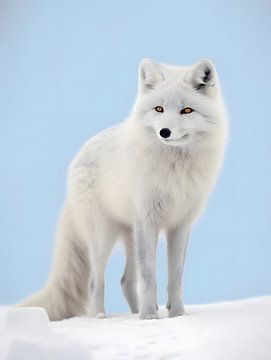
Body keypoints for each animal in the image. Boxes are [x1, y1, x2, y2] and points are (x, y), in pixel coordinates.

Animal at [19, 59, 228, 320]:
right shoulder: (147, 221)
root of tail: (78, 157)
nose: (165, 132)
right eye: (159, 109)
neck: (174, 170)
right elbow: (149, 277)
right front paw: (149, 317)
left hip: (130, 235)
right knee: (95, 282)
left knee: (125, 281)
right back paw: (101, 317)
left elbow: (175, 277)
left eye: (187, 111)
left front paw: (177, 314)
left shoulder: (180, 225)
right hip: (103, 236)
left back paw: (134, 312)